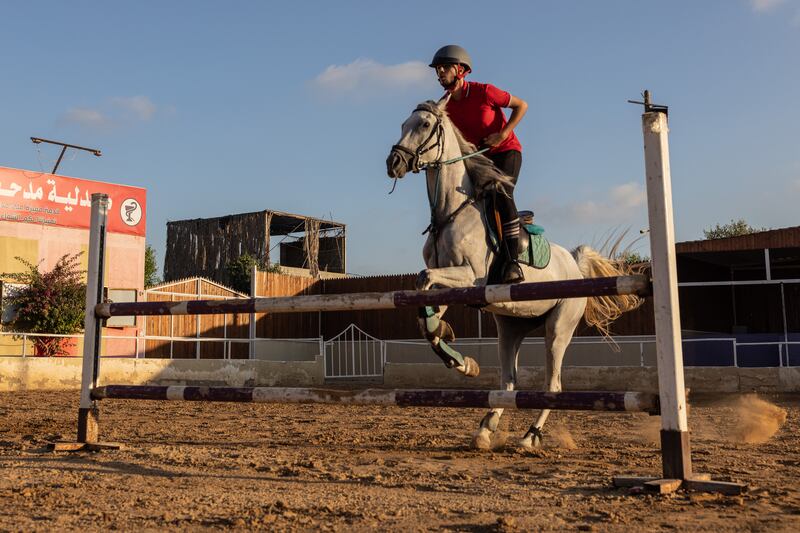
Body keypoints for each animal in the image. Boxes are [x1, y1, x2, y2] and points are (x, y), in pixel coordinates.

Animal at [388, 98, 644, 448]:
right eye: (403, 124)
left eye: (425, 125)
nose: (394, 162)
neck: (450, 213)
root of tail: (574, 263)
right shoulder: (446, 284)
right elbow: (426, 314)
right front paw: (461, 361)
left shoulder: (471, 277)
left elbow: (425, 277)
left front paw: (454, 349)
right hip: (511, 327)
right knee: (509, 382)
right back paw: (486, 428)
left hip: (558, 328)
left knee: (553, 385)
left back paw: (530, 436)